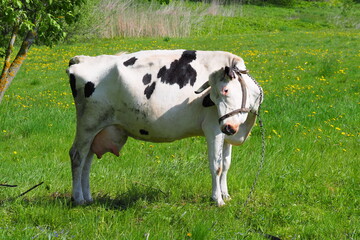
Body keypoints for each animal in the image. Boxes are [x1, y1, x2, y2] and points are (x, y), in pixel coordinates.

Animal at [67, 49, 262, 206]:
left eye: (225, 91)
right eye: (212, 98)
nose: (227, 127)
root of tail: (82, 59)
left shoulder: (226, 133)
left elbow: (226, 164)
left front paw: (226, 194)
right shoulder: (214, 128)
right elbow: (217, 165)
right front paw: (218, 200)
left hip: (96, 129)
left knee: (87, 160)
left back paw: (88, 197)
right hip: (88, 124)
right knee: (77, 156)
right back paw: (78, 198)